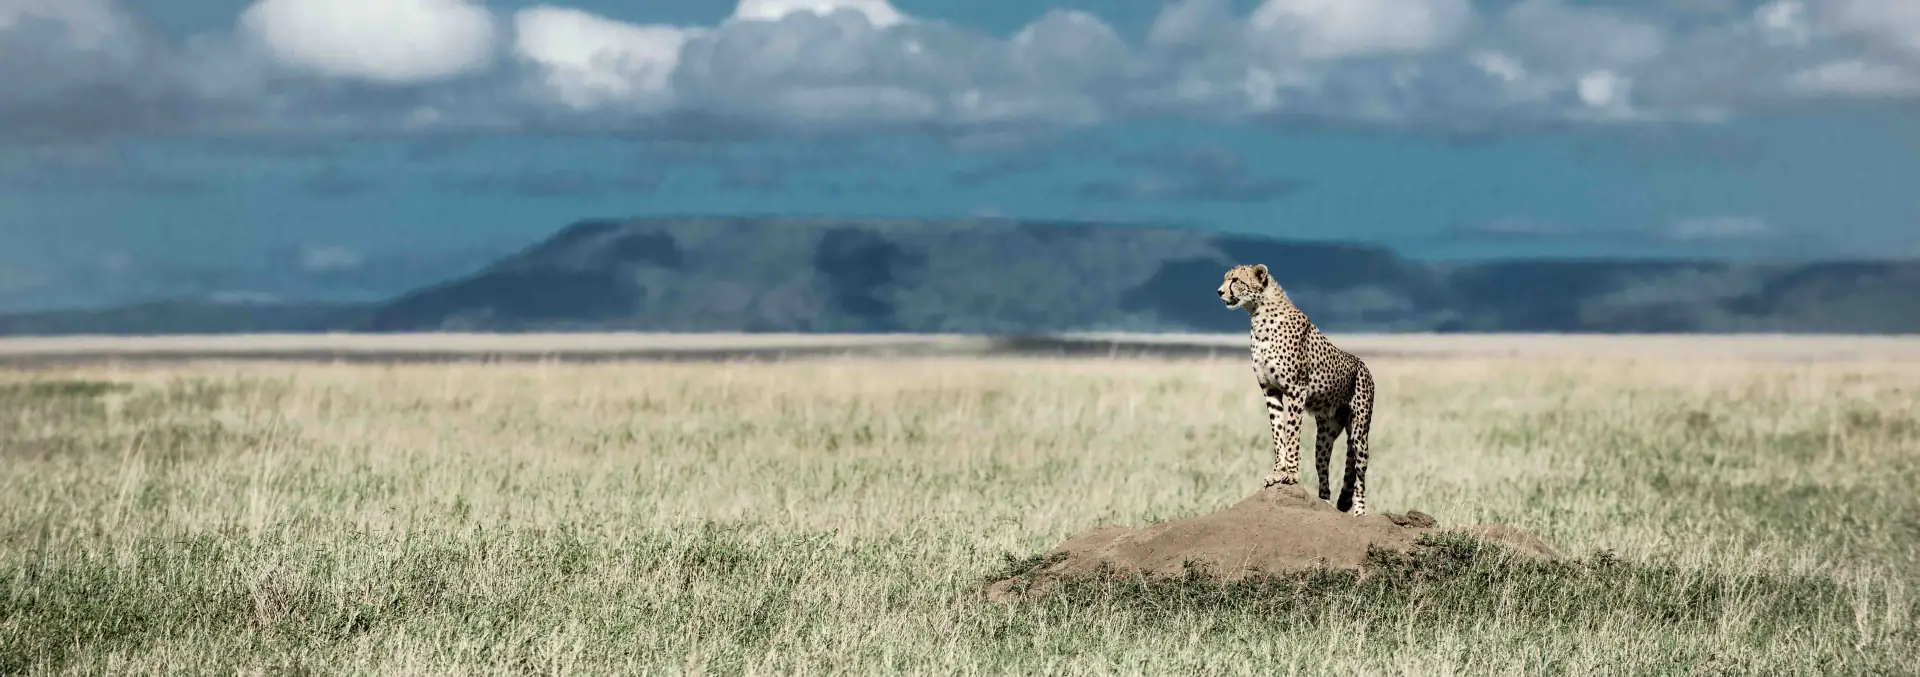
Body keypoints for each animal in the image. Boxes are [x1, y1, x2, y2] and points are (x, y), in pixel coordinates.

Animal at [1217, 263, 1378, 516]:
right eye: (1226, 279)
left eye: (1235, 280)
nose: (1219, 292)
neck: (1259, 314)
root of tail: (1362, 364)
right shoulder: (1270, 391)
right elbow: (1278, 433)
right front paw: (1277, 473)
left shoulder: (1296, 391)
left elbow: (1292, 434)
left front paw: (1290, 474)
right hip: (1325, 436)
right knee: (1325, 470)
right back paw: (1325, 503)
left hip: (1360, 432)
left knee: (1360, 474)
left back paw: (1360, 513)